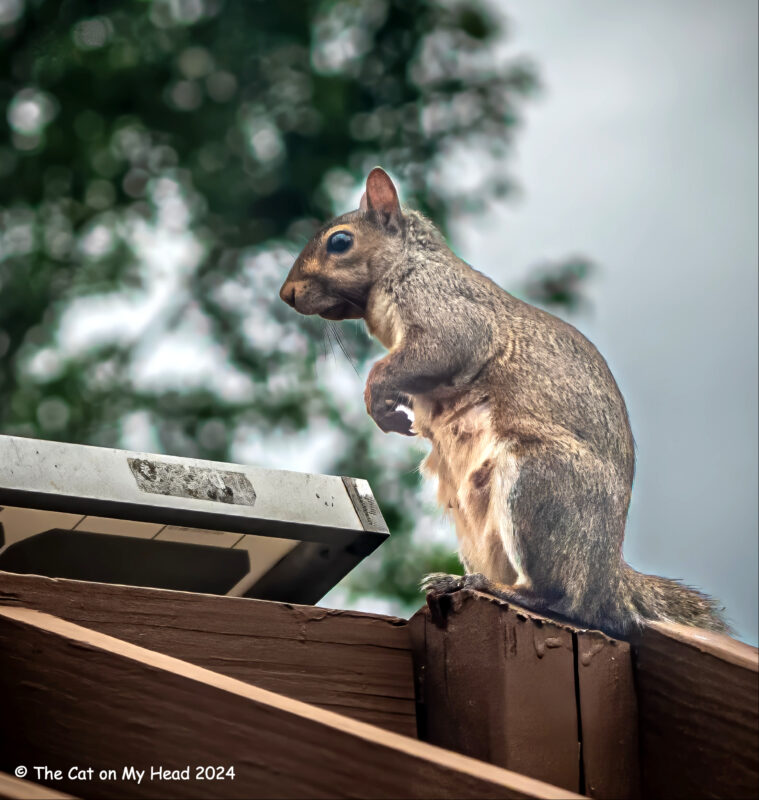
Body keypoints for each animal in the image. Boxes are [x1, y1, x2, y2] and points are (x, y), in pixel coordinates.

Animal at [279, 167, 729, 639]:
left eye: (340, 242)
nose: (287, 293)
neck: (406, 264)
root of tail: (608, 581)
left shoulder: (444, 308)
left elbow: (439, 349)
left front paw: (377, 396)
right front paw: (394, 409)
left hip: (539, 483)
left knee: (564, 601)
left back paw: (493, 587)